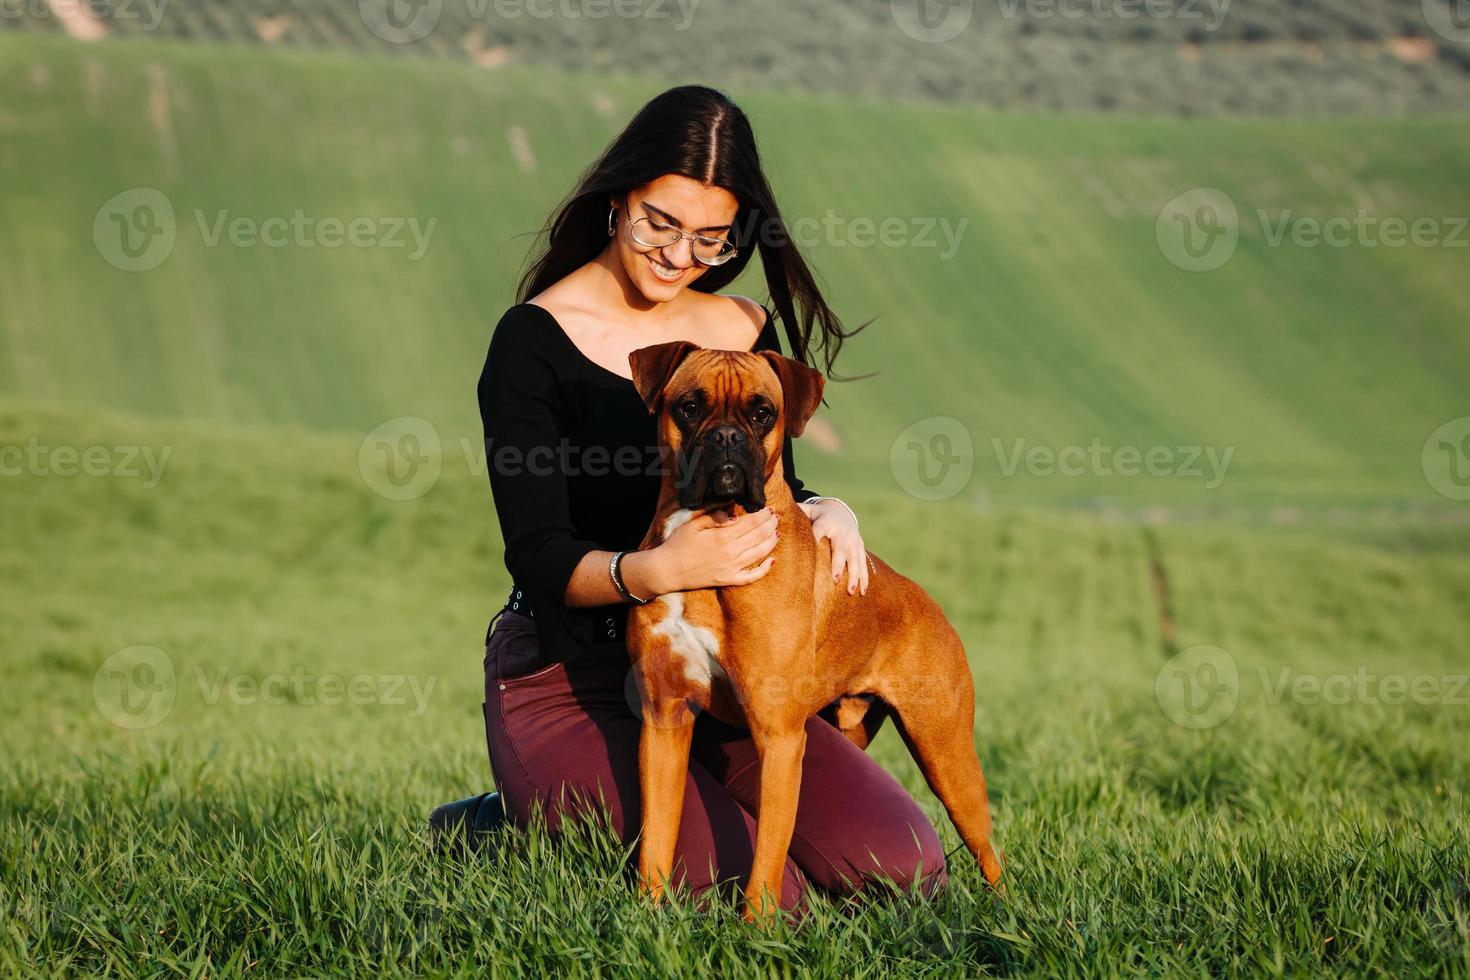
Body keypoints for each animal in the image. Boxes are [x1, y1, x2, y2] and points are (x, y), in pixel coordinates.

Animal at [626, 340, 1005, 922]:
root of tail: (927, 601)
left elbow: (767, 856)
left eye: (763, 413)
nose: (727, 437)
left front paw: (755, 928)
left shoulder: (779, 741)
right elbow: (658, 837)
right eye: (689, 406)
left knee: (988, 850)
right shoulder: (663, 721)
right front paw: (647, 915)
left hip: (947, 758)